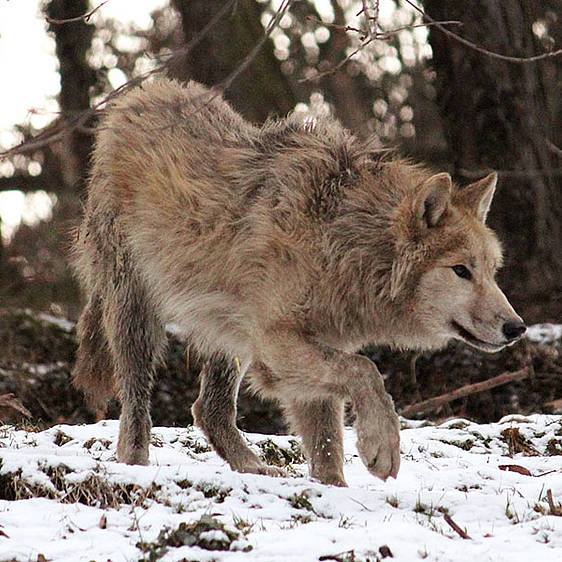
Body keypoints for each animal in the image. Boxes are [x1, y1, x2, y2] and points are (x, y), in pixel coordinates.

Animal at [71, 76, 524, 484]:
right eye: (461, 271)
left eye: (491, 271)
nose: (516, 328)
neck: (341, 244)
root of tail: (137, 96)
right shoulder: (277, 344)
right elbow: (366, 370)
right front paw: (382, 446)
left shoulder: (307, 351)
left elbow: (327, 445)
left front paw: (334, 490)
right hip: (139, 316)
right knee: (136, 405)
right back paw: (135, 465)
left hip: (229, 334)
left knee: (207, 409)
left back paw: (253, 469)